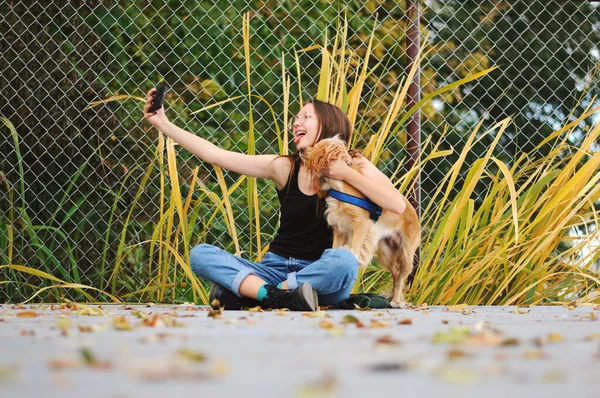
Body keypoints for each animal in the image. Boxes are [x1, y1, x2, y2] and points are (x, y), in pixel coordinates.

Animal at [300, 137, 422, 308]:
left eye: (317, 146)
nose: (301, 149)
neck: (338, 184)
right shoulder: (339, 228)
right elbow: (335, 248)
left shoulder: (362, 224)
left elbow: (355, 245)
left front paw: (353, 256)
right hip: (386, 253)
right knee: (396, 274)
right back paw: (392, 297)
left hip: (407, 254)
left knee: (402, 275)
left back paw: (397, 300)